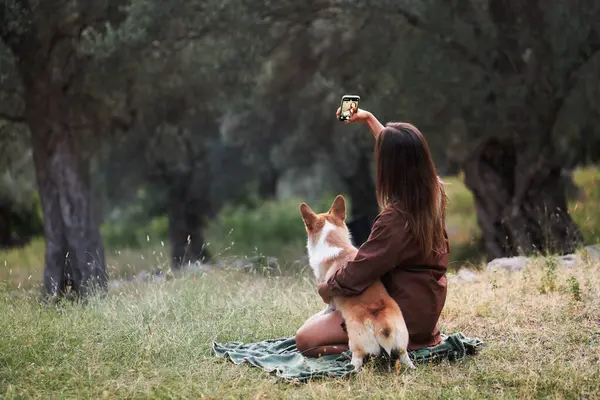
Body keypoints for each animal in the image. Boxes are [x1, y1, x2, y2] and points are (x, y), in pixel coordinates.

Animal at [298, 195, 414, 370]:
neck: (336, 244)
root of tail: (383, 325)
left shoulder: (328, 295)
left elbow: (327, 306)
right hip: (402, 340)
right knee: (404, 354)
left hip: (355, 341)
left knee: (358, 358)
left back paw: (350, 367)